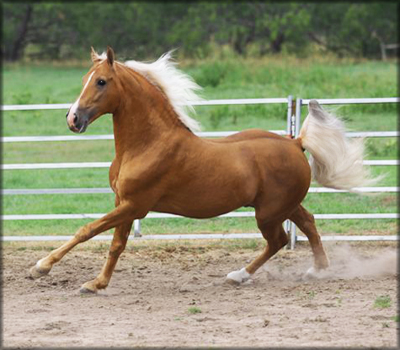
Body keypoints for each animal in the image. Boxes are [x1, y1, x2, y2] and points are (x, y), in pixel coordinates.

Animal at [30, 46, 376, 292]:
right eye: (85, 80)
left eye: (101, 81)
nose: (73, 119)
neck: (147, 144)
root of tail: (296, 143)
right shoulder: (124, 204)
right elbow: (117, 245)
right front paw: (96, 284)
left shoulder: (134, 205)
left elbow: (87, 230)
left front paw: (41, 267)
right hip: (283, 206)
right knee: (308, 223)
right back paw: (314, 271)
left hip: (268, 212)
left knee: (278, 240)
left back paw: (238, 275)